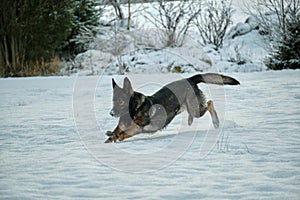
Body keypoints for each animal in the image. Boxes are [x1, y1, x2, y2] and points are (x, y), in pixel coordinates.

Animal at [105, 73, 239, 142]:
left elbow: (123, 133)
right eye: (113, 101)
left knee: (210, 103)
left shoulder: (137, 128)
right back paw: (190, 120)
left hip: (196, 109)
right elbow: (116, 130)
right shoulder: (122, 125)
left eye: (121, 101)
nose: (111, 113)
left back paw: (216, 122)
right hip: (184, 107)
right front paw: (111, 136)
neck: (134, 109)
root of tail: (189, 79)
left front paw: (116, 137)